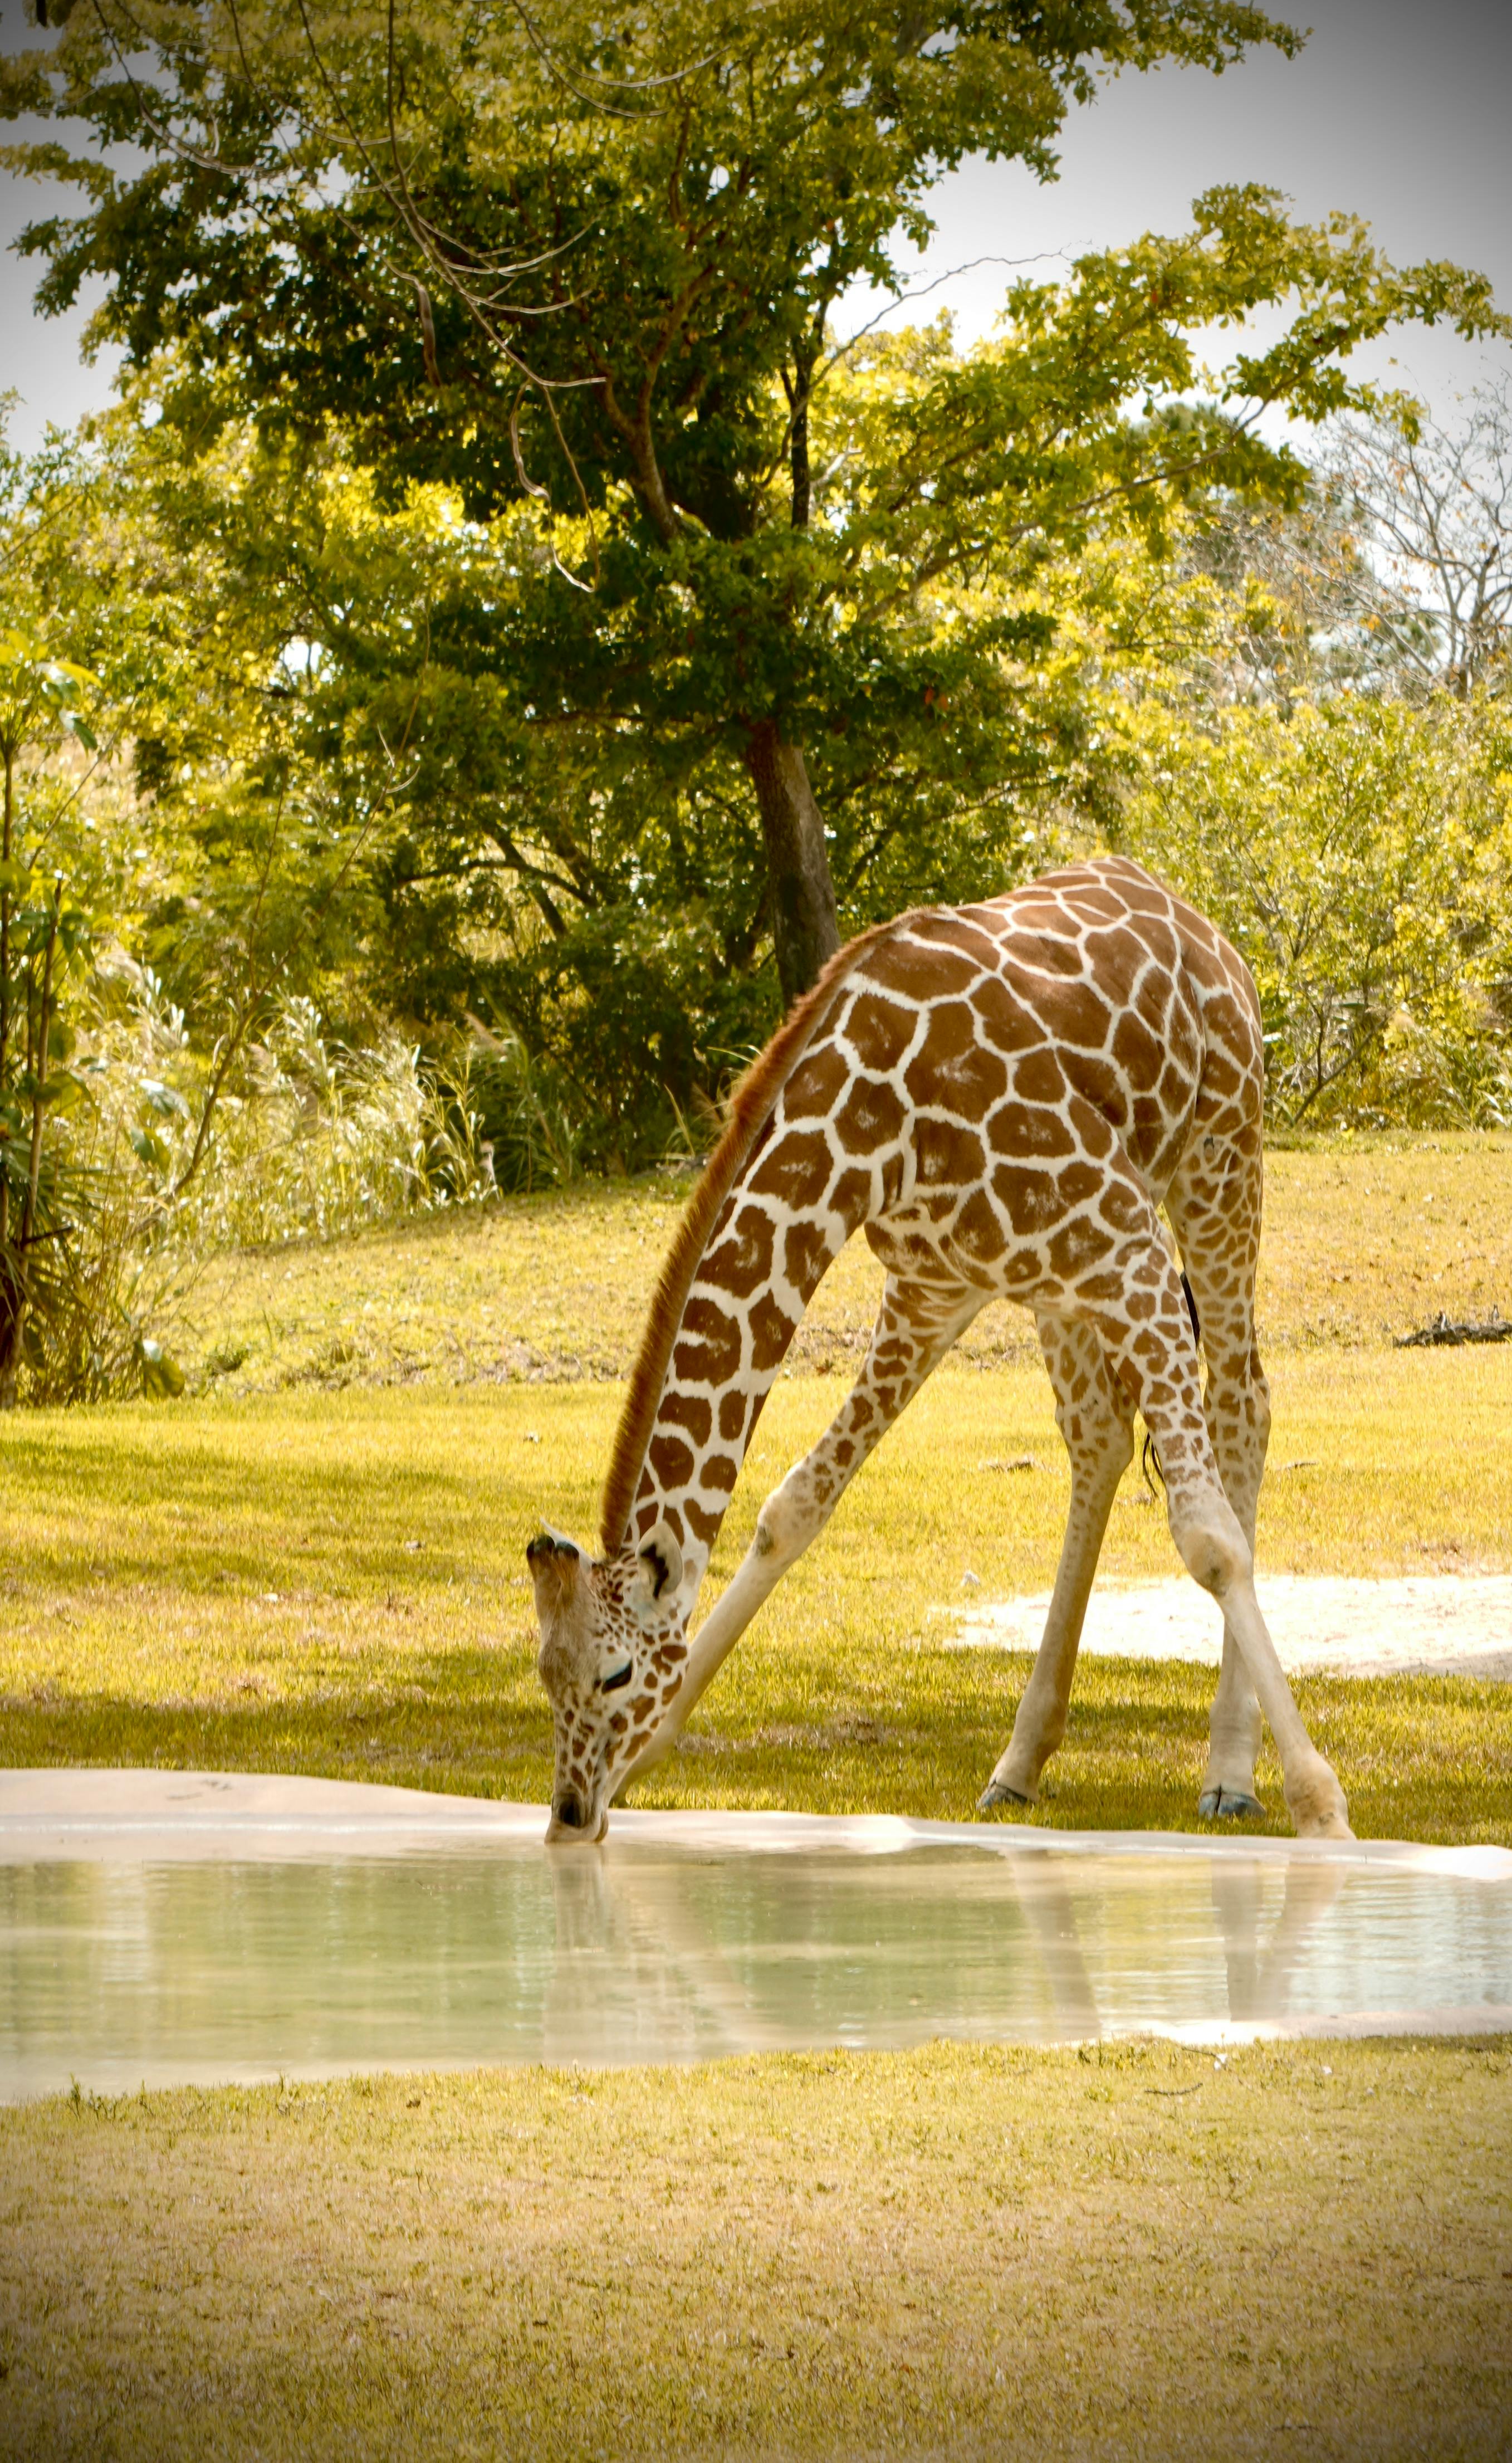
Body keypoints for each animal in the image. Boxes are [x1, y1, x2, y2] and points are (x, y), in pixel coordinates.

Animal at [527, 856, 1353, 1846]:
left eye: (613, 1672)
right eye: (542, 1671)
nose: (571, 1812)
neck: (864, 1129)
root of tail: (1191, 916)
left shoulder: (1123, 1242)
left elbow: (1209, 1542)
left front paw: (1320, 1804)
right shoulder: (931, 1289)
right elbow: (792, 1505)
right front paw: (651, 1754)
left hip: (1218, 1163)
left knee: (1241, 1406)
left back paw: (1227, 1774)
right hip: (1053, 1282)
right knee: (1098, 1437)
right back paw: (1018, 1762)